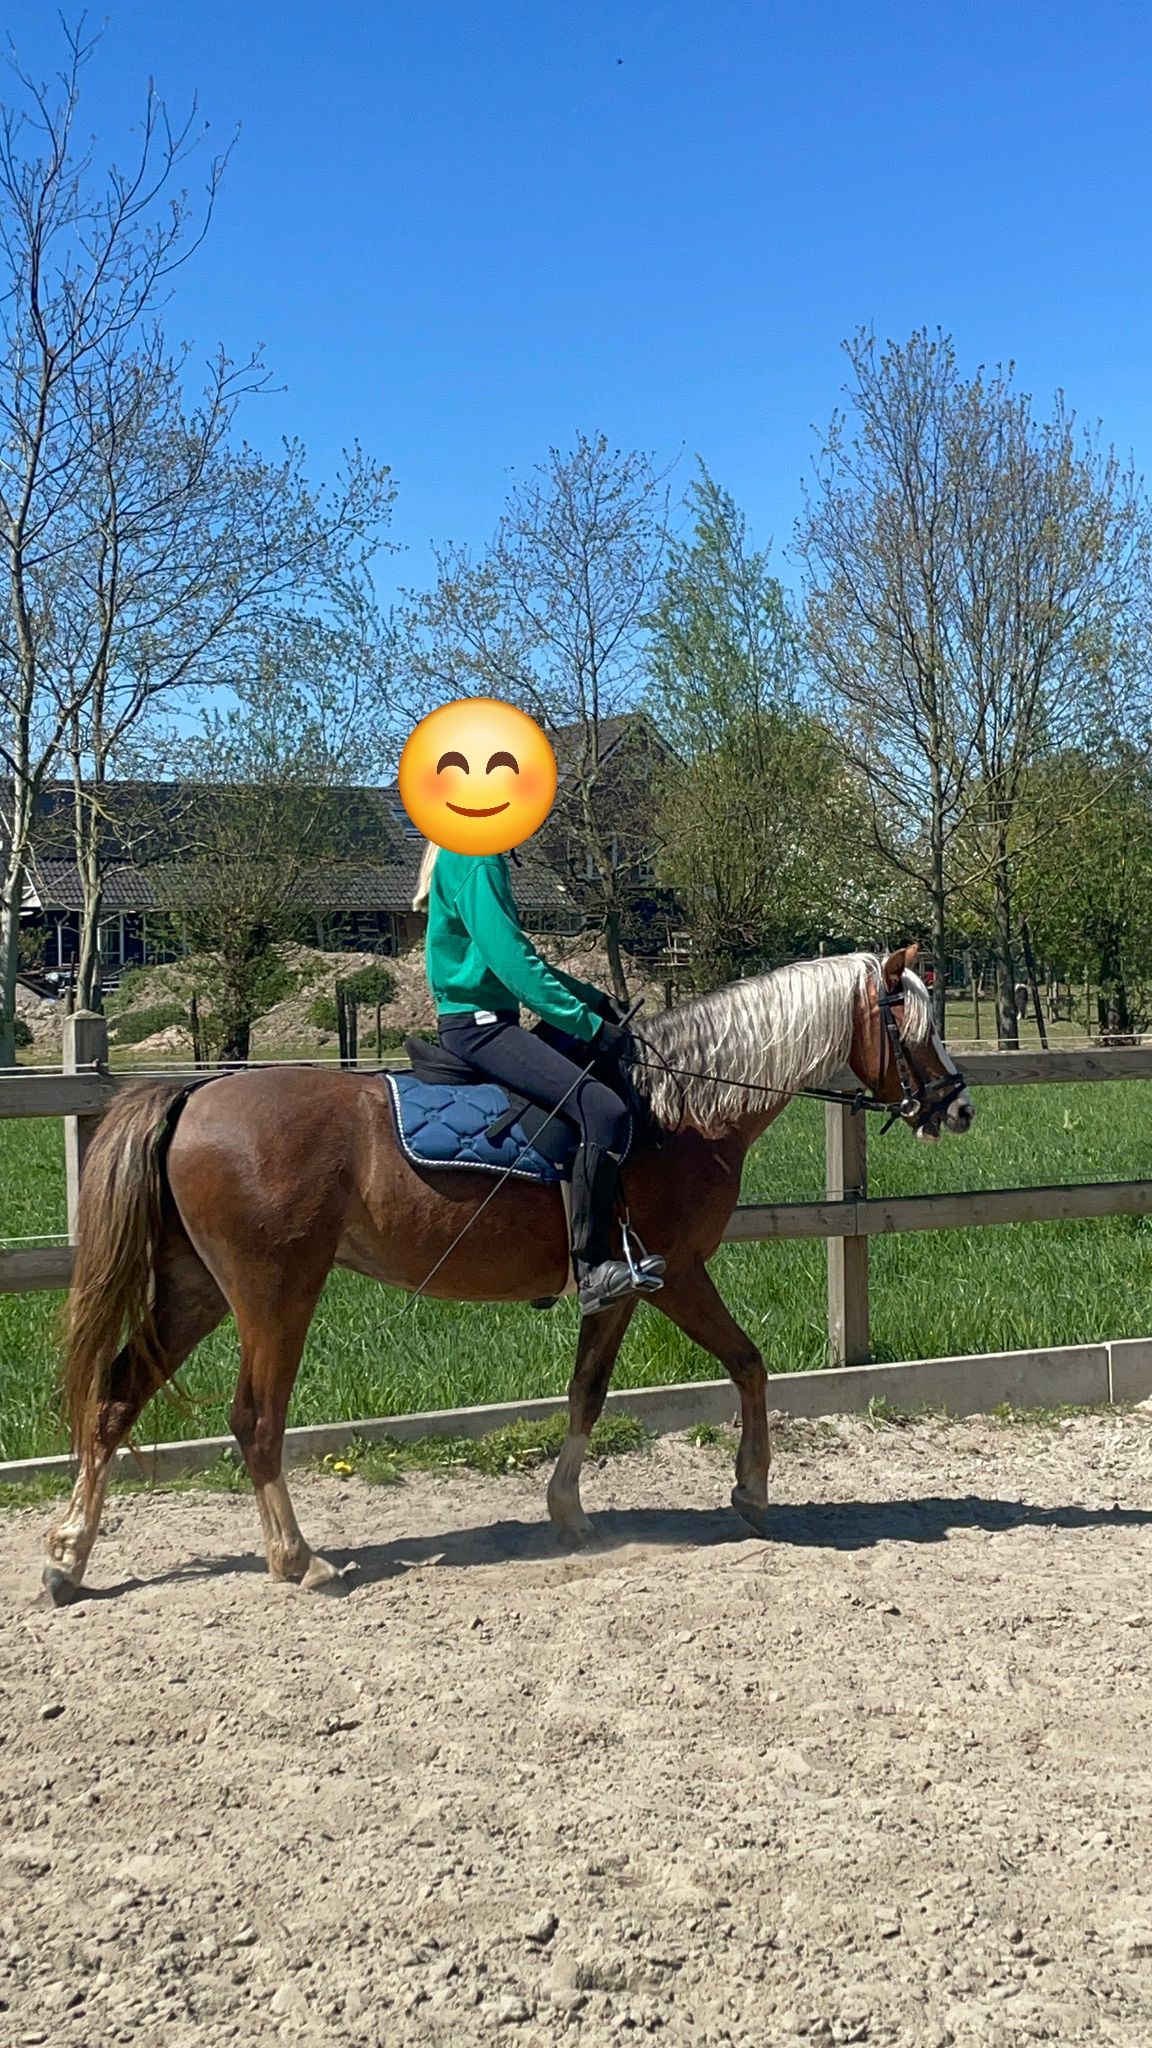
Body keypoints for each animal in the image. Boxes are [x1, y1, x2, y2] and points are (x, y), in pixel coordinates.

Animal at [41, 944, 973, 1604]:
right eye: (913, 1024)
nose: (959, 1105)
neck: (679, 1108)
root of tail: (196, 1095)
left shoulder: (619, 1285)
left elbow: (588, 1392)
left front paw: (568, 1511)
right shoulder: (676, 1275)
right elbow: (748, 1363)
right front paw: (749, 1489)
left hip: (195, 1290)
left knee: (115, 1399)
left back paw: (68, 1558)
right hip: (275, 1295)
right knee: (254, 1421)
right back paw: (297, 1558)